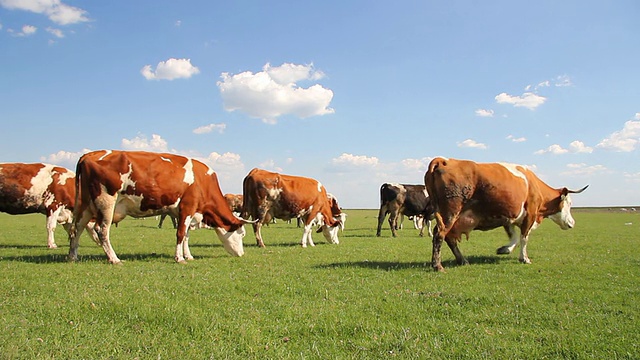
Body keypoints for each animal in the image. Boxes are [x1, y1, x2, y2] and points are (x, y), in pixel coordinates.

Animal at [67, 150, 252, 264]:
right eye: (242, 234)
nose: (242, 254)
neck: (202, 181)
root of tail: (89, 155)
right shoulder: (188, 207)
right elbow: (180, 234)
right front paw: (179, 258)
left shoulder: (185, 213)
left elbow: (186, 236)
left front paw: (188, 255)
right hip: (106, 202)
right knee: (102, 230)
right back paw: (114, 259)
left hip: (86, 205)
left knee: (77, 228)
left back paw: (72, 256)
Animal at [424, 156, 592, 272]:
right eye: (569, 204)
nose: (573, 223)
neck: (533, 185)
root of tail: (443, 160)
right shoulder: (530, 215)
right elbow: (524, 238)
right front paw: (524, 258)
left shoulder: (508, 218)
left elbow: (515, 237)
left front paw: (505, 249)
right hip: (450, 213)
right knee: (439, 234)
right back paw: (438, 265)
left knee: (449, 238)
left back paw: (462, 260)